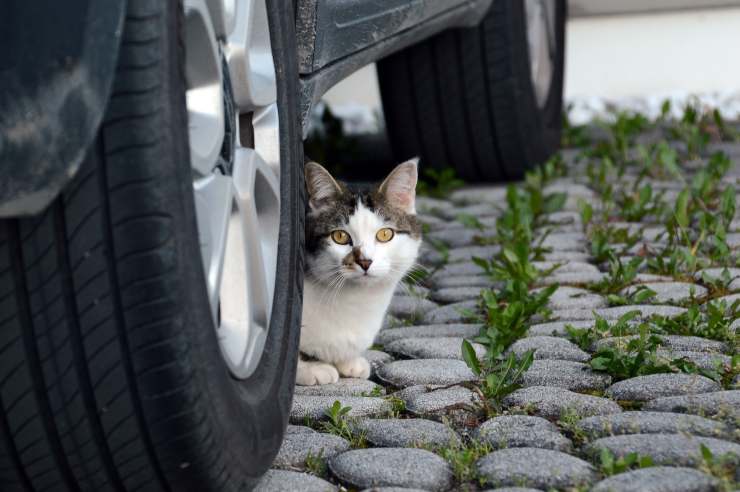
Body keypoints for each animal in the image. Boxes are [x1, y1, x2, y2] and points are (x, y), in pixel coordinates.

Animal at [296, 160, 422, 386]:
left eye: (385, 234)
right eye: (339, 236)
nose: (364, 261)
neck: (356, 300)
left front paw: (349, 361)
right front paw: (310, 369)